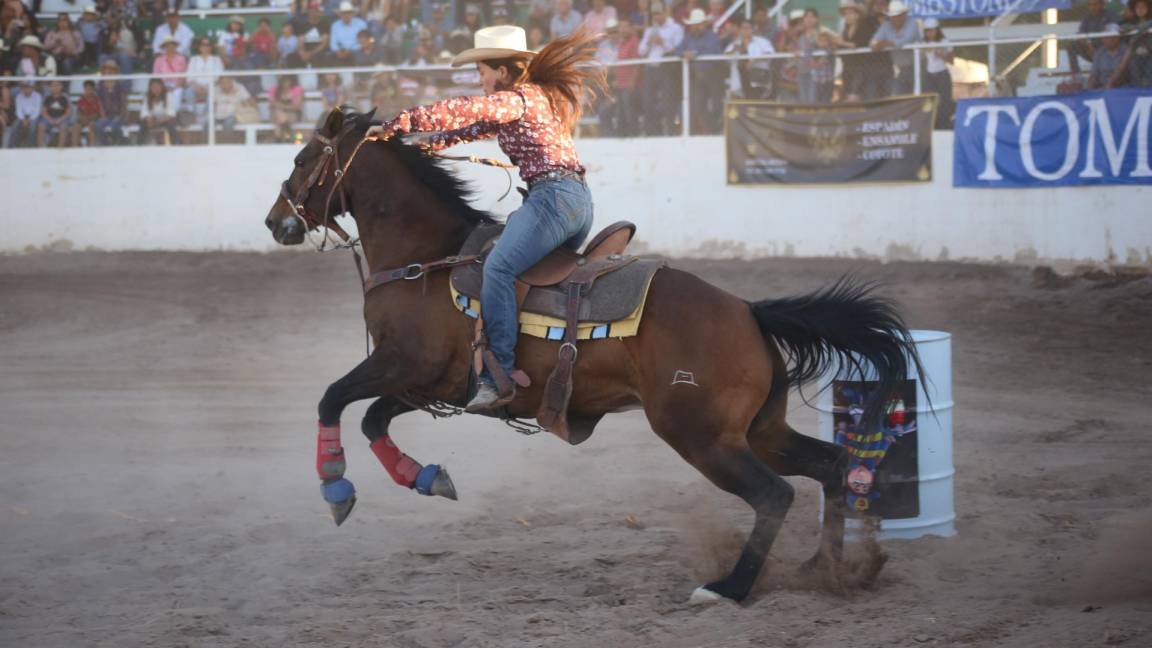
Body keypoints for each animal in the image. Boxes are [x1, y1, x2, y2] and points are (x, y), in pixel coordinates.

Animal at [263, 108, 926, 604]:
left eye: (299, 161)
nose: (275, 223)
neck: (427, 258)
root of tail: (749, 312)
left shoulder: (404, 365)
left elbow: (332, 399)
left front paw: (336, 489)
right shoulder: (433, 385)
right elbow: (374, 418)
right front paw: (426, 477)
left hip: (702, 436)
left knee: (775, 496)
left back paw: (729, 588)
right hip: (759, 429)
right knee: (832, 466)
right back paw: (828, 570)